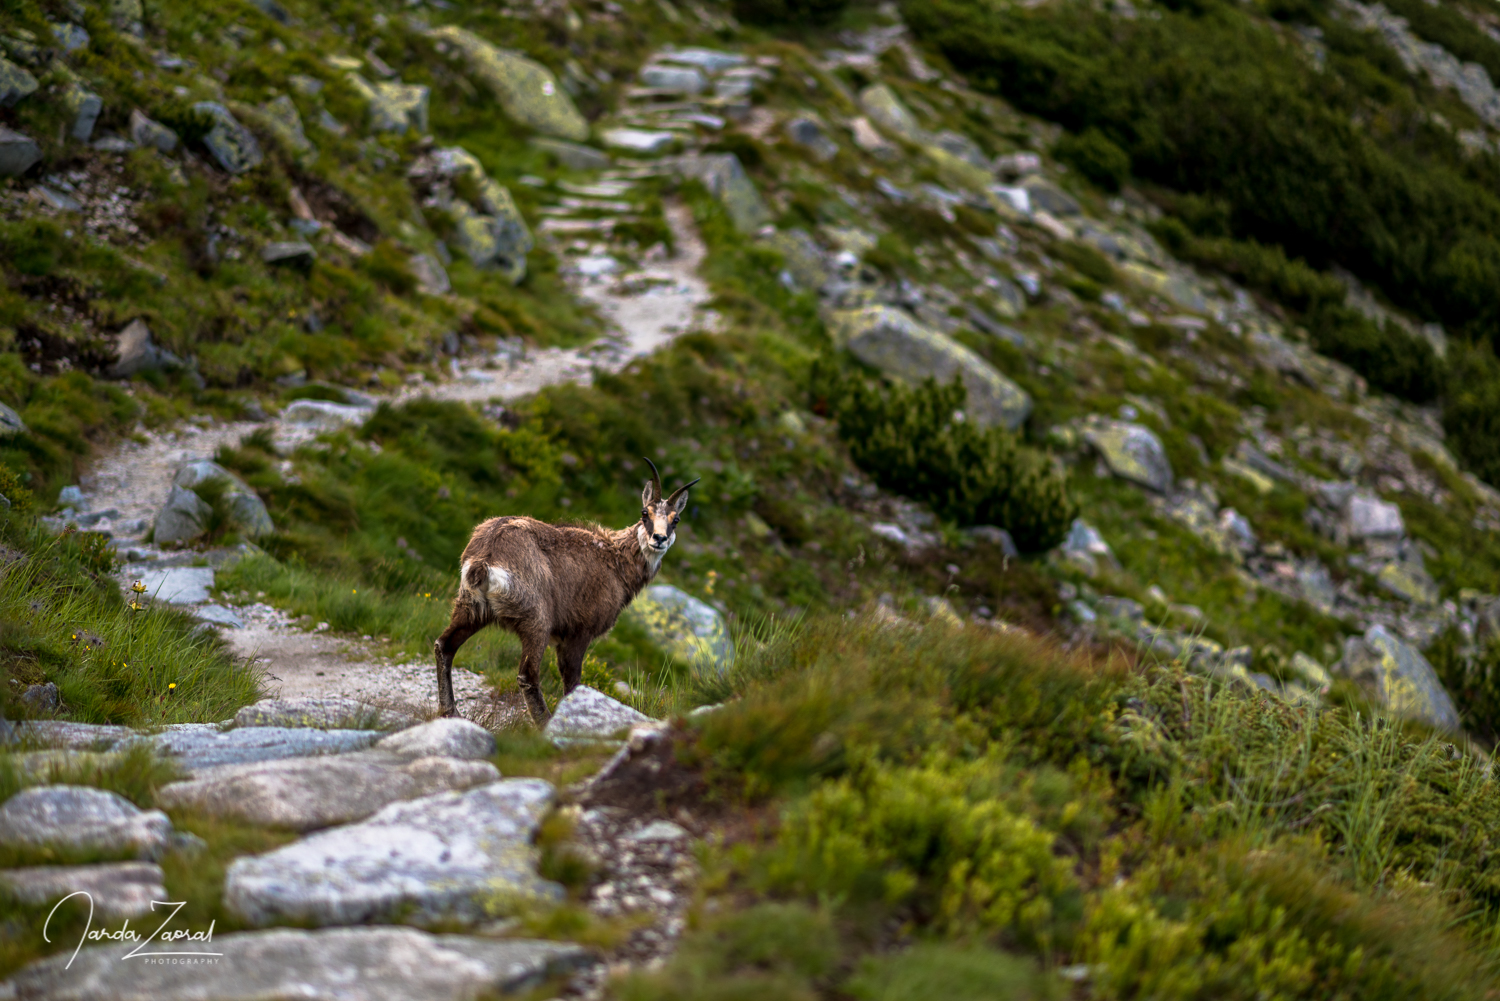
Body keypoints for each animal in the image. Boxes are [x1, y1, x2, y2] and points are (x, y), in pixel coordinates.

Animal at [429, 459, 696, 723]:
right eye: (644, 513)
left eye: (676, 520)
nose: (659, 538)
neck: (616, 561)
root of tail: (486, 556)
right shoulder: (579, 631)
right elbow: (572, 682)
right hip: (536, 619)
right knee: (527, 675)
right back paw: (543, 722)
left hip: (472, 607)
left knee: (445, 646)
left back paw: (450, 711)